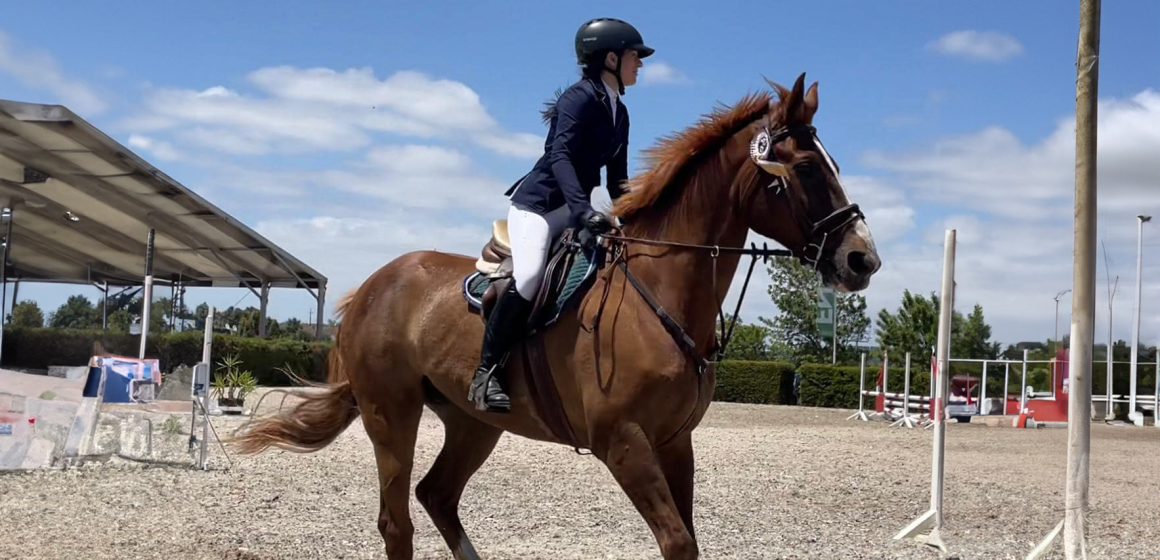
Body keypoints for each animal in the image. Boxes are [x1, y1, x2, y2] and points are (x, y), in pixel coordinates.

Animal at [233, 74, 876, 560]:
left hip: (472, 422)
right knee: (397, 522)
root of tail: (371, 286)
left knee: (437, 495)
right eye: (808, 169)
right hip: (391, 413)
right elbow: (677, 542)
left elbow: (688, 540)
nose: (862, 259)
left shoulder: (675, 444)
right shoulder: (625, 444)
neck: (660, 294)